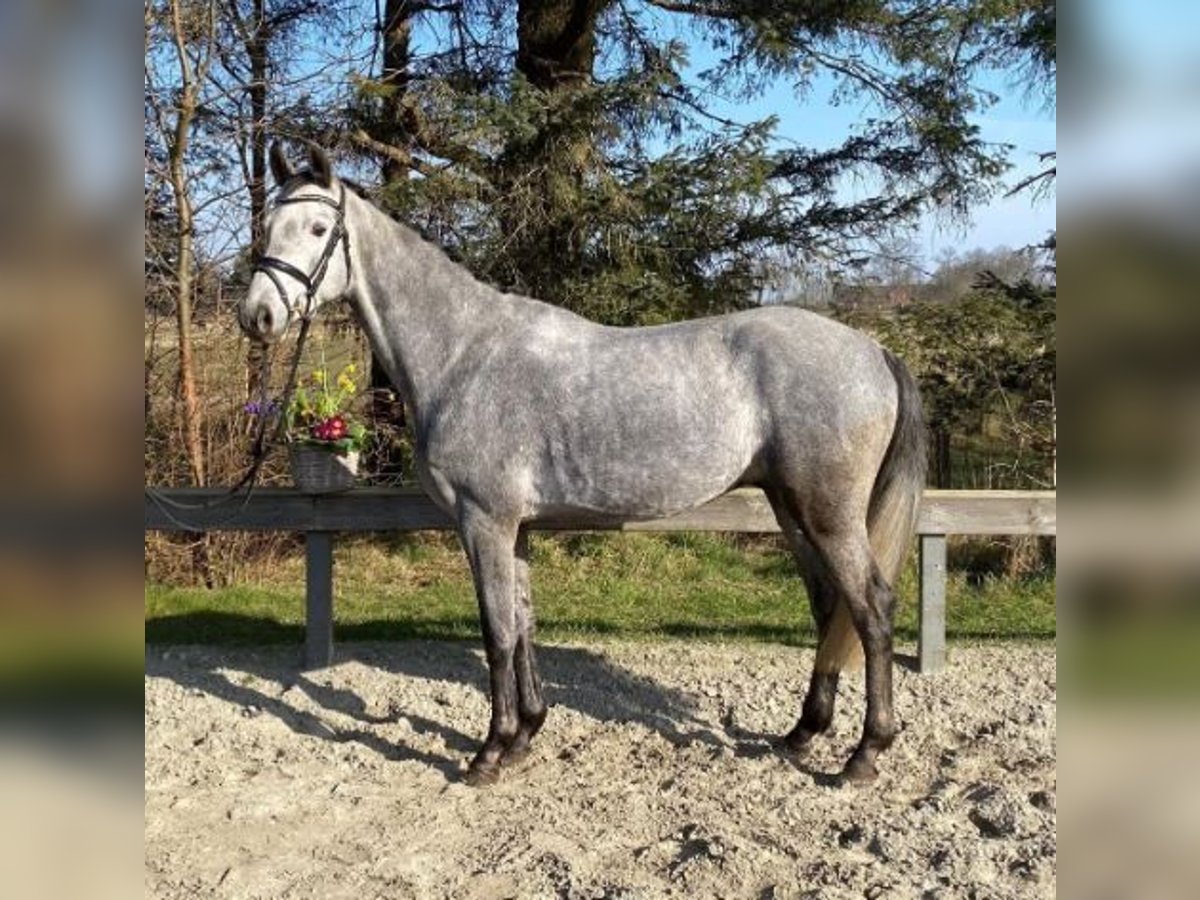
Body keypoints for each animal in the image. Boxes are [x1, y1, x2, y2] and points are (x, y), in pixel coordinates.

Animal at [236, 144, 926, 787]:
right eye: (269, 226)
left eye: (319, 229)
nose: (257, 316)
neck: (463, 354)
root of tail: (873, 349)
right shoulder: (513, 528)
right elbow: (522, 624)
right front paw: (525, 736)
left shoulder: (483, 522)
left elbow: (496, 633)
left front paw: (490, 752)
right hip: (791, 508)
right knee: (829, 605)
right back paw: (803, 733)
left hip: (829, 513)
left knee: (870, 607)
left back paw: (865, 754)